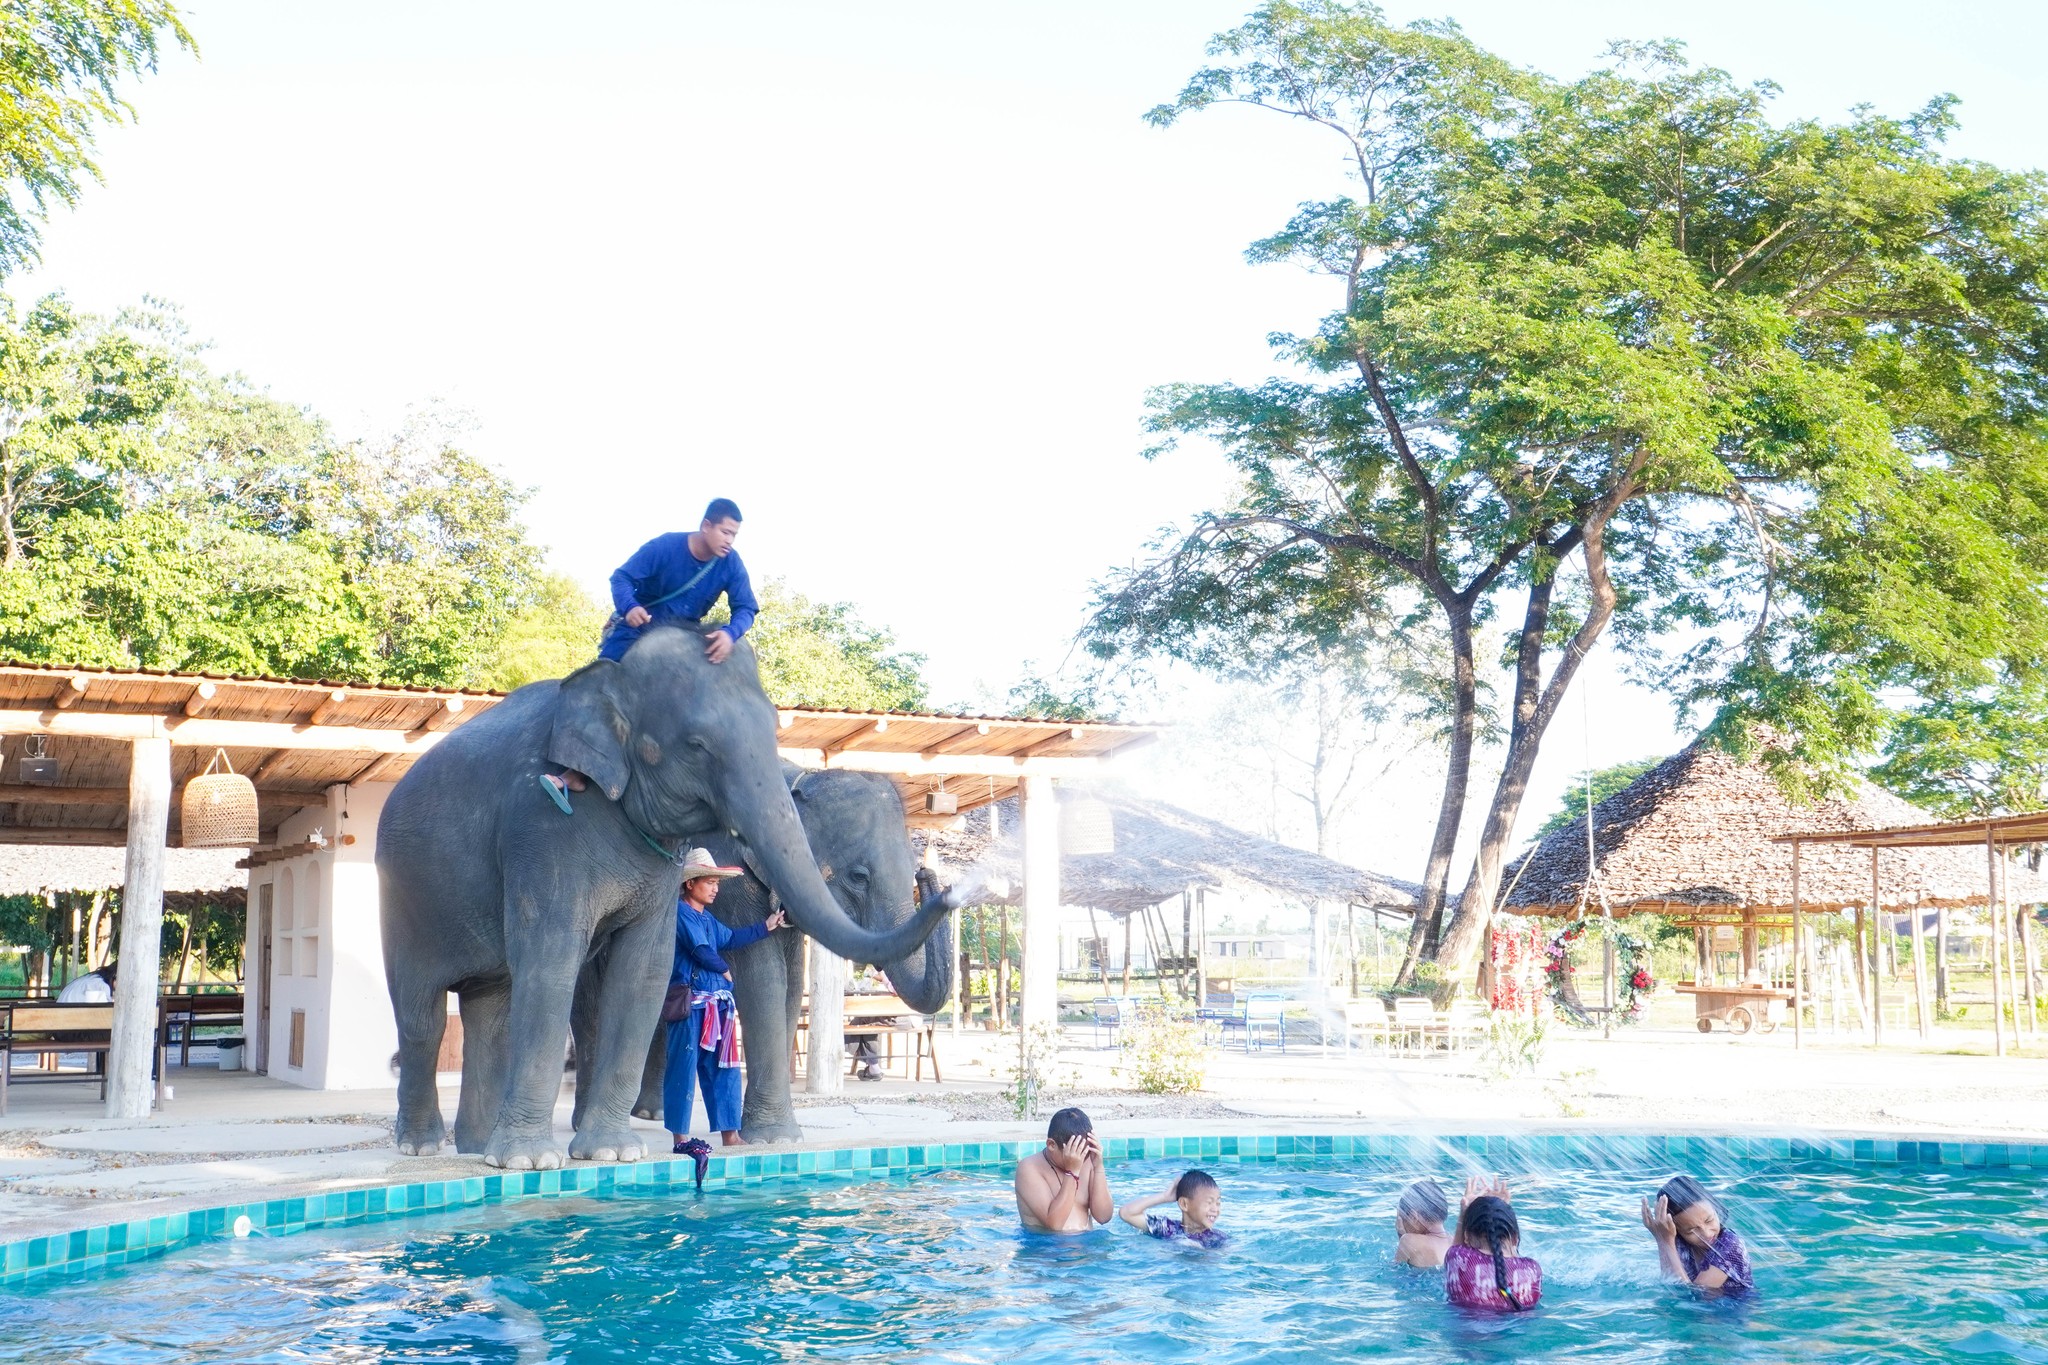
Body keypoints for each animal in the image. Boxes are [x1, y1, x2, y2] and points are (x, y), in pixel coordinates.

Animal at [569, 765, 954, 1143]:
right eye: (858, 877)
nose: (931, 877)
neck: (793, 781)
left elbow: (791, 985)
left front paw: (778, 1137)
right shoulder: (732, 878)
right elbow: (762, 977)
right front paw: (775, 1139)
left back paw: (653, 1114)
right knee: (588, 1003)